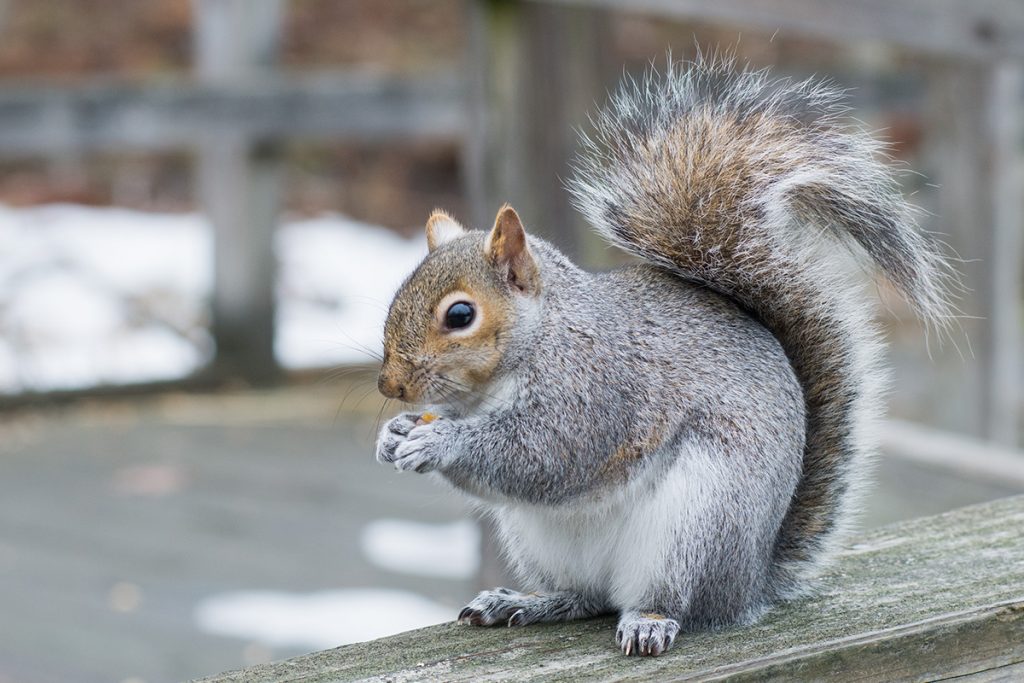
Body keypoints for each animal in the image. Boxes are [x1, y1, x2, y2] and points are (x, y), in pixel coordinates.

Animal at [374, 57, 950, 655]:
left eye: (460, 315)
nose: (390, 386)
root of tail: (750, 582)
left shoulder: (597, 389)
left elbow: (545, 455)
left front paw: (439, 441)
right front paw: (394, 434)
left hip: (697, 524)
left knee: (673, 601)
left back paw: (650, 620)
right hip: (541, 540)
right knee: (585, 597)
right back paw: (528, 602)